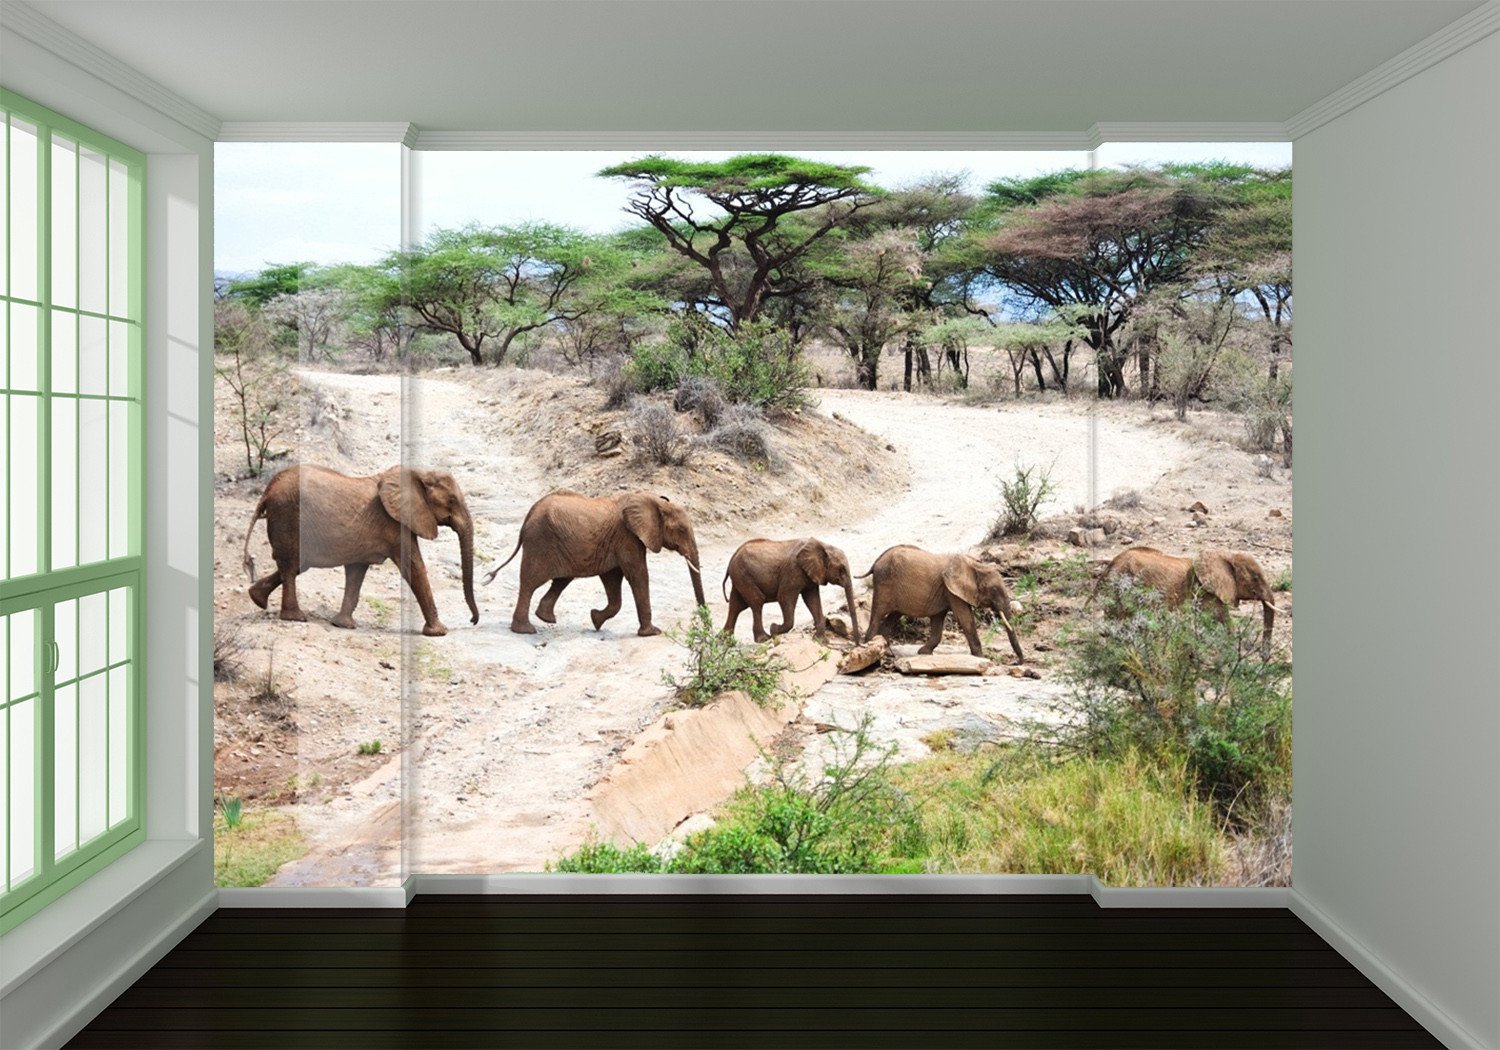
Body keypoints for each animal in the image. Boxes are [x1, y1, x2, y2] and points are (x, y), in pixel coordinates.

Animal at [241, 464, 479, 637]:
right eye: (451, 500)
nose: (473, 620)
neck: (418, 473)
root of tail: (268, 490)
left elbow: (356, 572)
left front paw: (343, 625)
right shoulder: (395, 525)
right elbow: (414, 568)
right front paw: (439, 632)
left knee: (295, 565)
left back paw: (256, 598)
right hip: (288, 517)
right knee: (291, 566)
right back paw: (295, 617)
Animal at [485, 489, 706, 637]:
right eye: (681, 530)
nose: (705, 621)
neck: (653, 501)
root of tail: (529, 514)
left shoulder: (617, 541)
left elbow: (612, 579)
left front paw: (595, 620)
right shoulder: (627, 537)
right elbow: (638, 575)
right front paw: (652, 633)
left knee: (561, 579)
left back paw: (545, 618)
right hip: (540, 542)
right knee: (530, 582)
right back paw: (525, 630)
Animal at [722, 537, 861, 644]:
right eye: (841, 569)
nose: (857, 644)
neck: (823, 546)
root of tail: (734, 555)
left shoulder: (810, 575)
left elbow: (812, 600)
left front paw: (820, 641)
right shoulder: (793, 571)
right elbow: (784, 597)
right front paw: (774, 629)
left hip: (740, 576)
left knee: (736, 605)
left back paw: (724, 641)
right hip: (743, 575)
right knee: (756, 601)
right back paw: (764, 639)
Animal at [858, 545, 1025, 661]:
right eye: (994, 590)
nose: (1020, 662)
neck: (975, 565)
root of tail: (876, 562)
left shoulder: (946, 591)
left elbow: (938, 620)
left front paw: (923, 653)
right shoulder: (951, 590)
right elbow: (965, 618)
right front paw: (980, 657)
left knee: (893, 616)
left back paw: (887, 651)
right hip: (884, 582)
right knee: (878, 613)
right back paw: (872, 647)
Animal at [1095, 546, 1277, 655]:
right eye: (1255, 578)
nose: (1264, 657)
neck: (1226, 555)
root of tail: (1111, 564)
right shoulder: (1204, 591)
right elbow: (1222, 621)